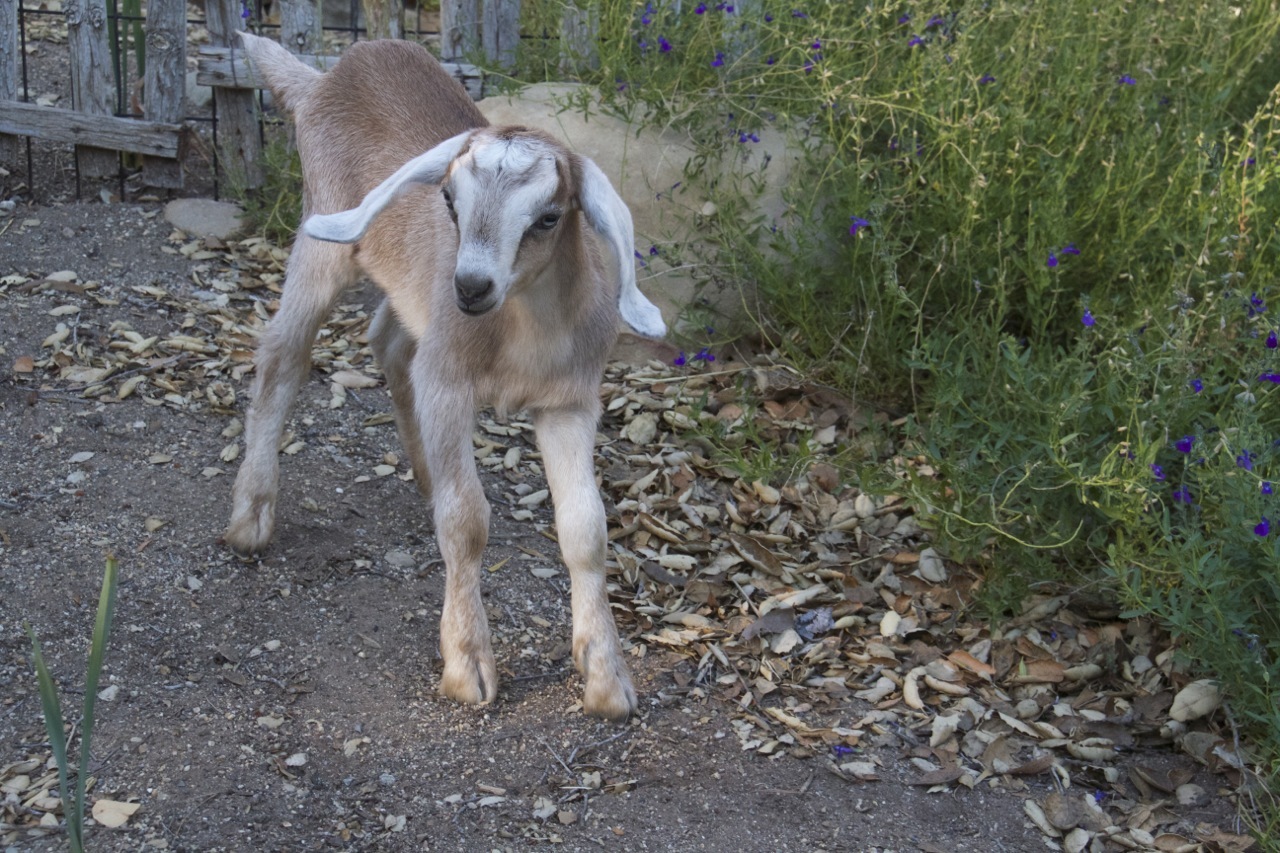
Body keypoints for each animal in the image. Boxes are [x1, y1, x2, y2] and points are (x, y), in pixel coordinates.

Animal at [226, 32, 666, 721]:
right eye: (450, 201)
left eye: (548, 216)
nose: (471, 287)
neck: (523, 334)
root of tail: (323, 77)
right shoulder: (449, 384)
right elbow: (467, 522)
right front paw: (468, 666)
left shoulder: (569, 403)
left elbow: (586, 528)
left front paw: (606, 679)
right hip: (323, 235)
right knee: (282, 355)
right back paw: (251, 517)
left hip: (412, 297)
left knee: (388, 341)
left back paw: (426, 475)